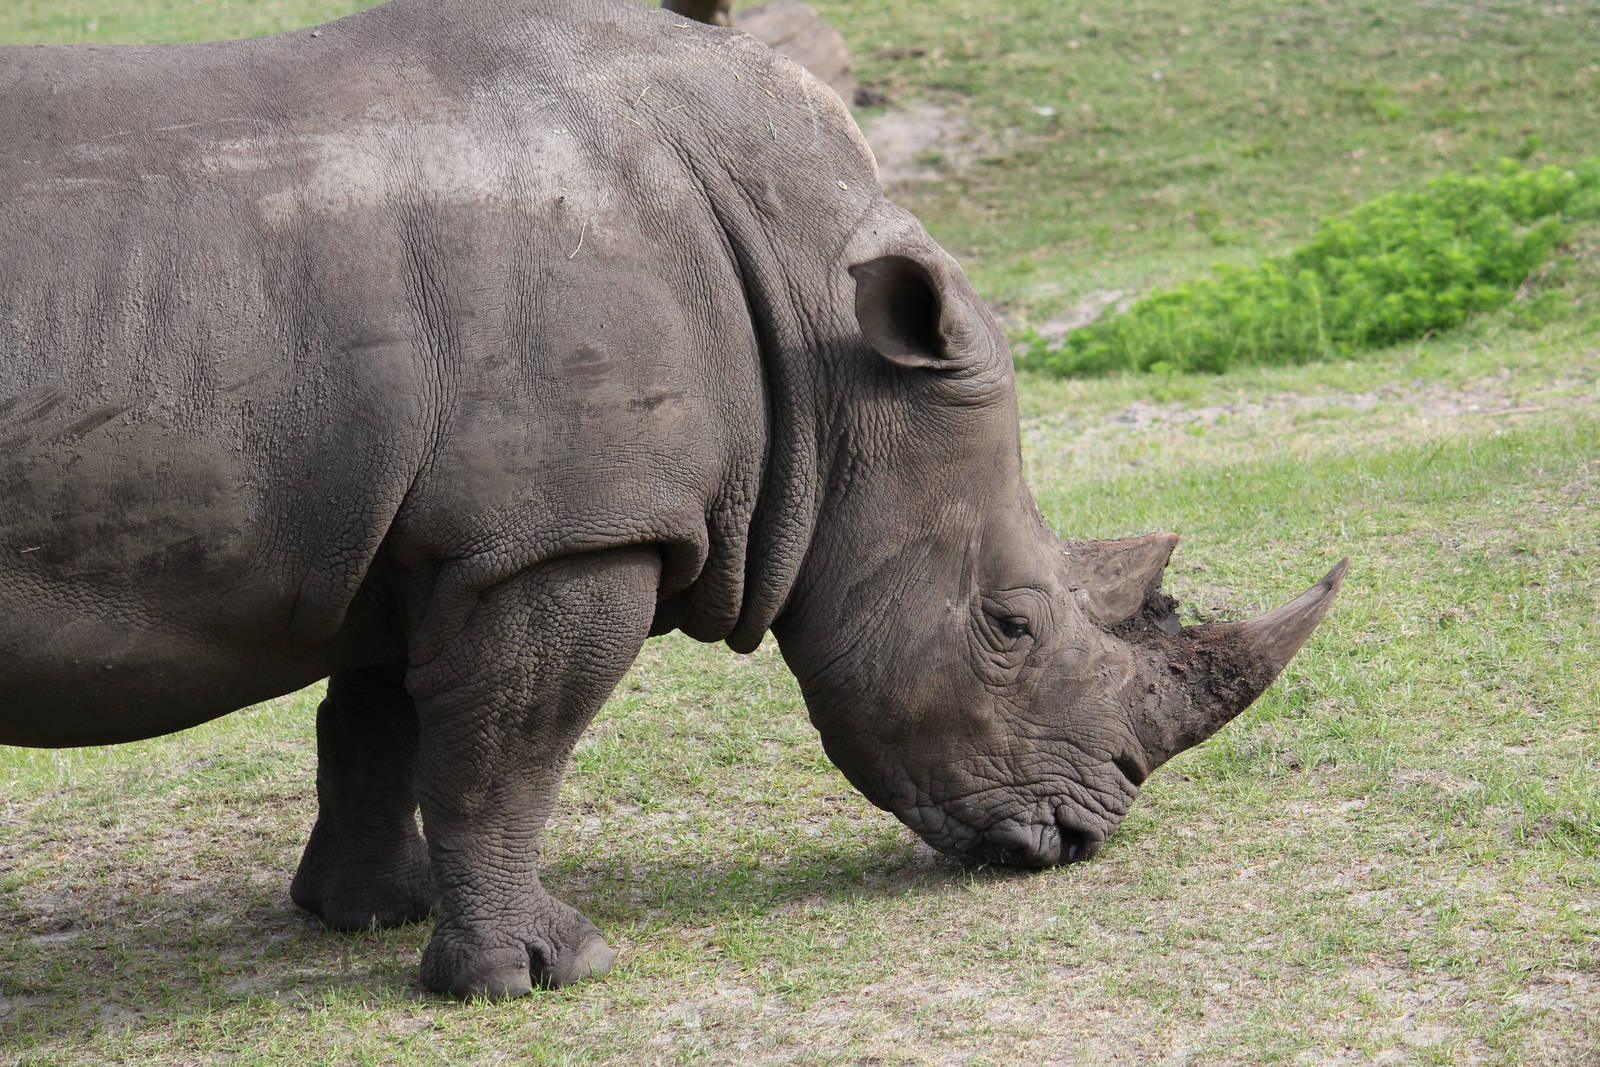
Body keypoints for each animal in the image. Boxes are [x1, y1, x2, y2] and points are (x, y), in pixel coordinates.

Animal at [0, 0, 1345, 998]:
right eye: (1008, 625)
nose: (1081, 835)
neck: (819, 333)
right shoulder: (562, 535)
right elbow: (509, 750)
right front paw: (536, 970)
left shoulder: (443, 532)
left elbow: (381, 725)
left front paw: (372, 914)